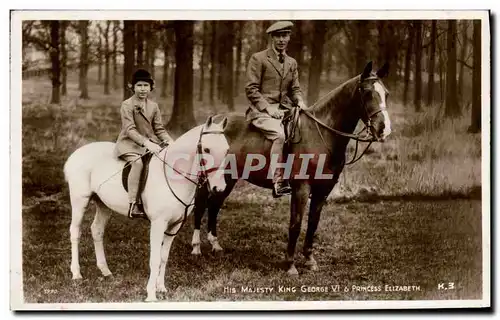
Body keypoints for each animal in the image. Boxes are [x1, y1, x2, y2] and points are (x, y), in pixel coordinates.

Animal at [63, 116, 229, 302]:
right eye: (206, 149)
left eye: (227, 150)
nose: (219, 188)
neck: (174, 174)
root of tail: (76, 154)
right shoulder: (158, 224)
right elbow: (155, 259)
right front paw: (151, 294)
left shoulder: (174, 226)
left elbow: (164, 257)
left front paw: (161, 288)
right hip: (79, 200)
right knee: (75, 232)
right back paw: (76, 273)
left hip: (103, 204)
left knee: (97, 230)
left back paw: (105, 271)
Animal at [190, 62, 390, 276]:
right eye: (367, 92)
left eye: (386, 94)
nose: (384, 129)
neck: (321, 134)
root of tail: (212, 123)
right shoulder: (301, 188)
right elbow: (296, 223)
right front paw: (291, 265)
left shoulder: (323, 190)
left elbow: (312, 223)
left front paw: (309, 260)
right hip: (209, 176)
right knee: (201, 205)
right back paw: (196, 248)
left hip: (227, 178)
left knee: (215, 205)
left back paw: (215, 245)